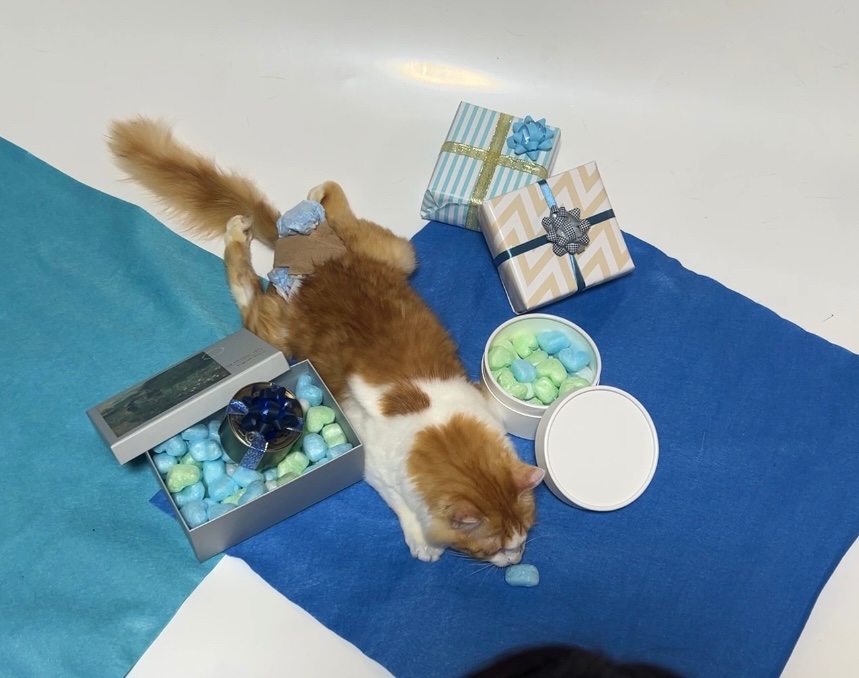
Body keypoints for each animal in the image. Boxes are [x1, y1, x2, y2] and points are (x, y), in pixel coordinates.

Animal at [107, 117, 545, 566]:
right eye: (494, 547)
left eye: (524, 535)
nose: (516, 560)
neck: (439, 429)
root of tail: (314, 258)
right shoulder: (375, 465)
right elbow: (403, 506)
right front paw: (423, 543)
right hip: (278, 329)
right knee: (244, 283)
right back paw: (240, 229)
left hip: (397, 254)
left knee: (336, 204)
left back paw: (311, 199)